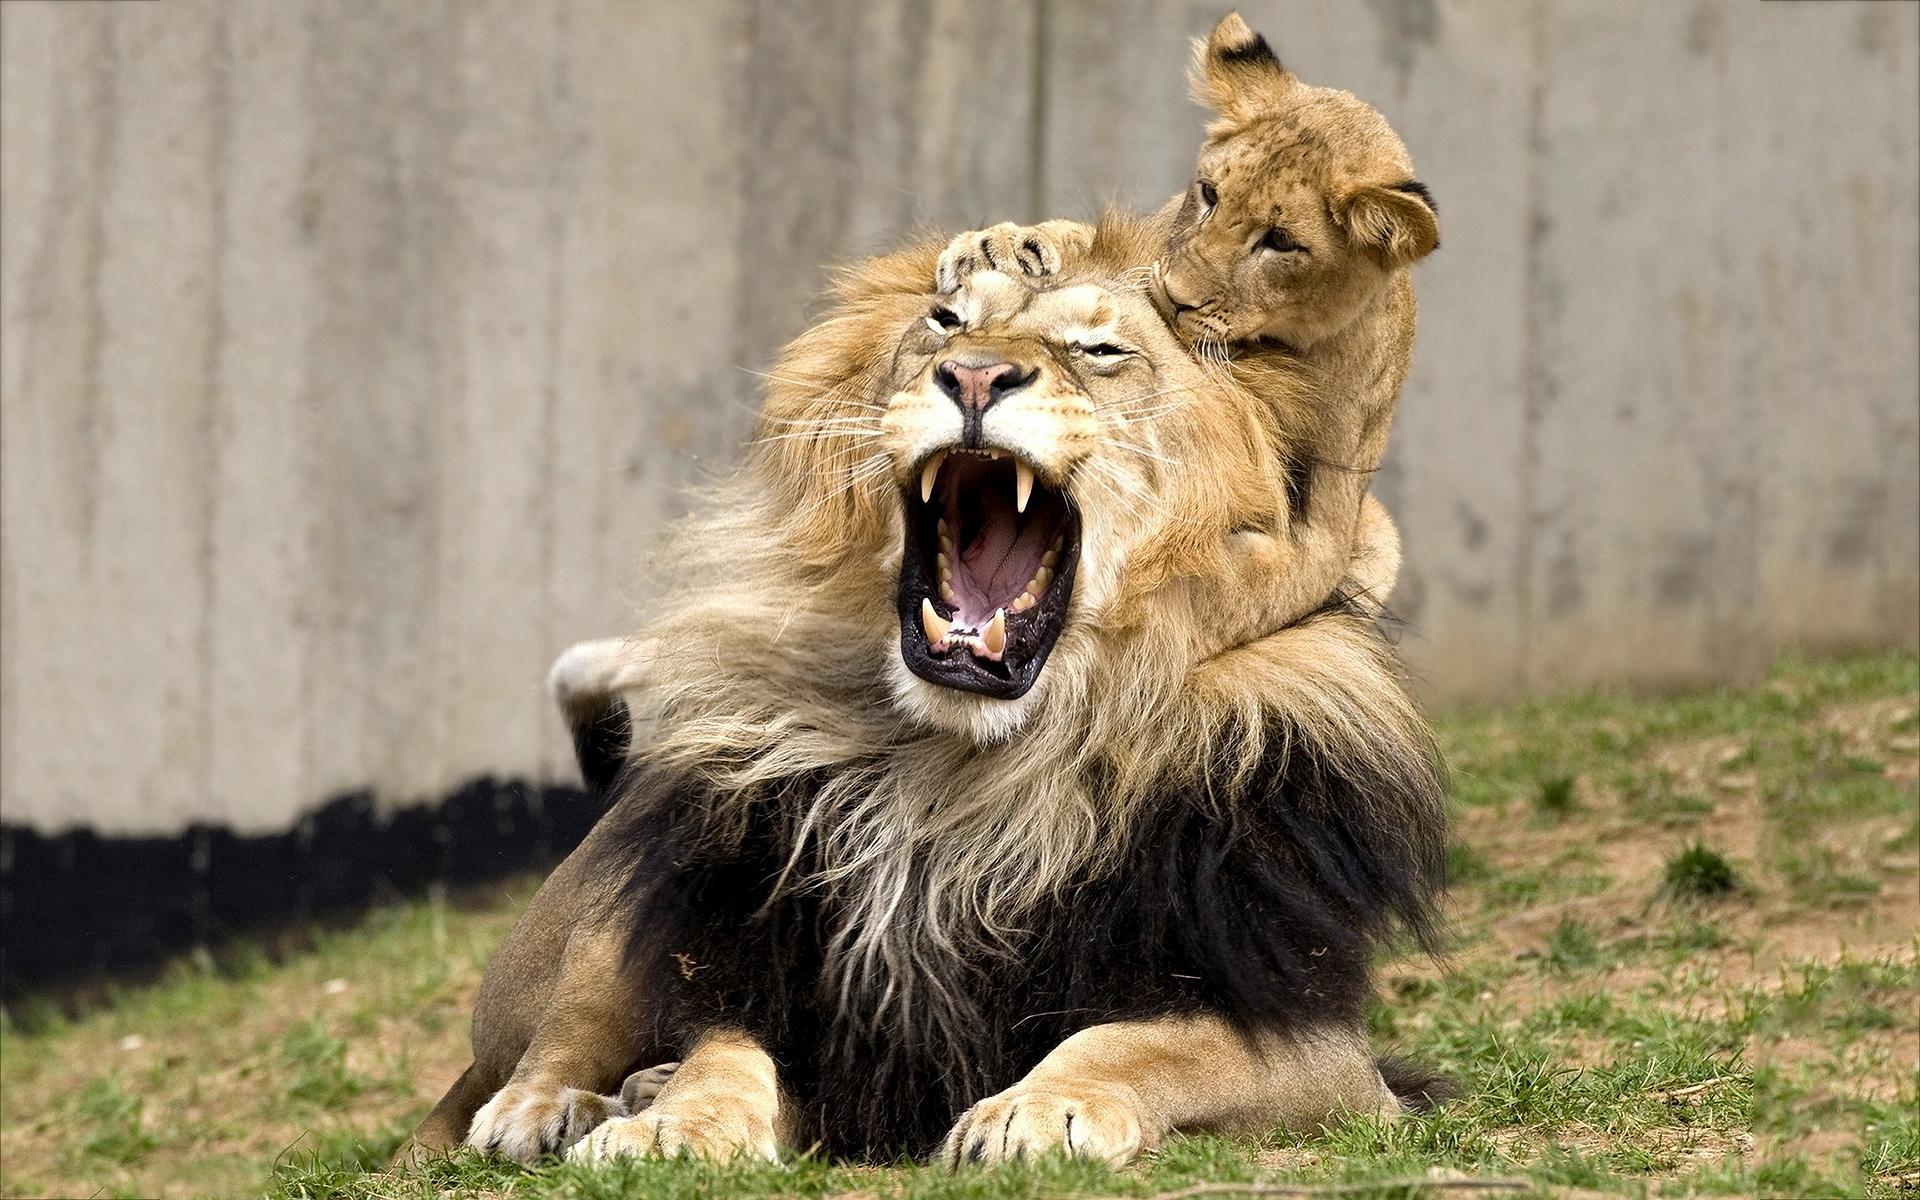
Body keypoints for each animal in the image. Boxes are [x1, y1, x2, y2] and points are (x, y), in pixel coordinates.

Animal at [404, 215, 1447, 1167]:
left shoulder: (1325, 1053)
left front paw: (1037, 1109)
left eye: (1100, 351)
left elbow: (1141, 1044)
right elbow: (722, 1053)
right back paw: (555, 1106)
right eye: (946, 324)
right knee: (544, 1044)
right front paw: (671, 1123)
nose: (975, 378)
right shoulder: (799, 1001)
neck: (963, 780)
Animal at [936, 11, 1438, 654]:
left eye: (1280, 241)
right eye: (1209, 193)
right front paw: (999, 245)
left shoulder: (1327, 521)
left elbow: (1245, 587)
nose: (1173, 296)